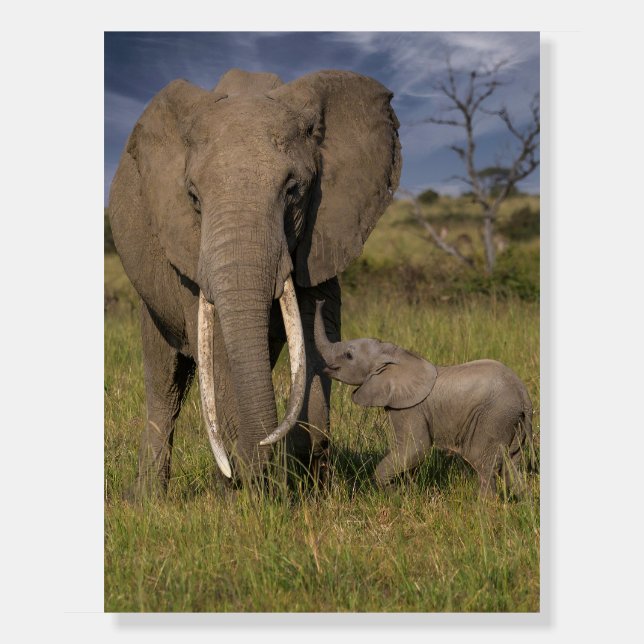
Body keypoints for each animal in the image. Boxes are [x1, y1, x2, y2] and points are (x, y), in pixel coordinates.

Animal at [108, 68, 401, 495]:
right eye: (193, 197)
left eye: (294, 190)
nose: (259, 455)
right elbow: (216, 350)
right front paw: (244, 491)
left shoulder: (323, 232)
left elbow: (316, 334)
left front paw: (308, 488)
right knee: (165, 383)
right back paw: (149, 500)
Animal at [310, 301, 534, 498]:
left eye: (348, 355)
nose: (320, 301)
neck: (394, 354)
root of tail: (523, 393)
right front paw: (407, 492)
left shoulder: (410, 408)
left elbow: (416, 446)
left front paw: (394, 495)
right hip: (513, 421)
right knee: (511, 462)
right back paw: (522, 502)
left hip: (494, 416)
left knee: (483, 461)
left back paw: (483, 507)